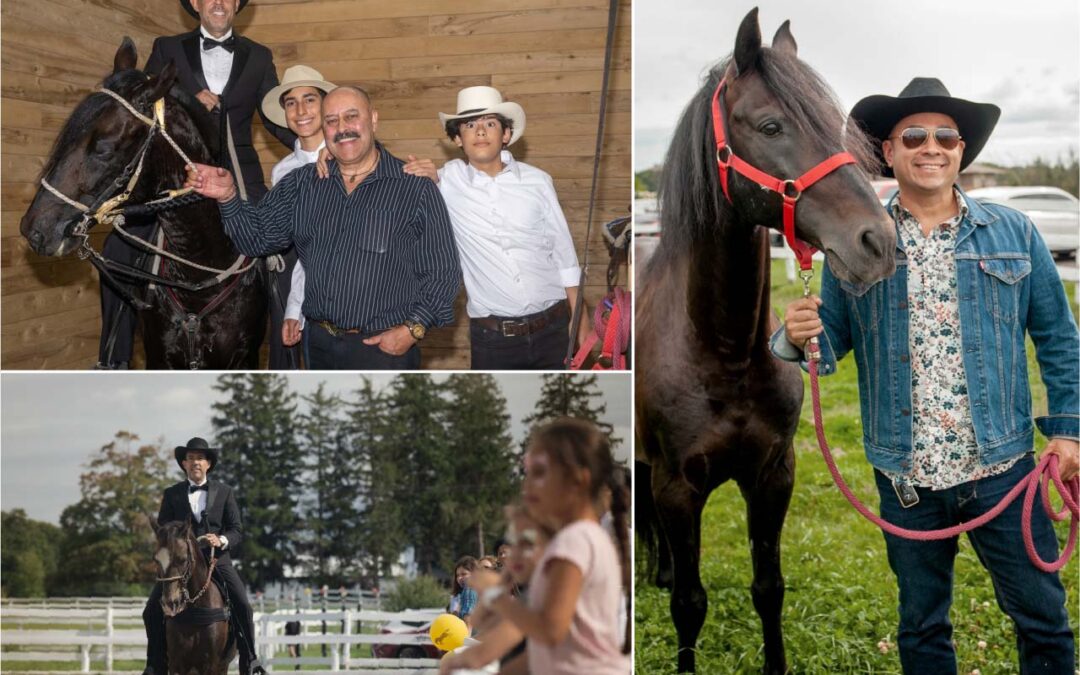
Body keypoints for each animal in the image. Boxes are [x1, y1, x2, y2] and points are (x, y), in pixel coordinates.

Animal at [152, 518, 234, 669]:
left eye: (183, 559)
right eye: (156, 560)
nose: (169, 604)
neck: (196, 610)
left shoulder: (211, 664)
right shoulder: (176, 663)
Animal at [630, 7, 894, 669]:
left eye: (837, 127)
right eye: (772, 125)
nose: (879, 242)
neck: (722, 354)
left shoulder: (774, 475)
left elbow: (768, 588)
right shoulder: (677, 487)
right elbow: (690, 606)